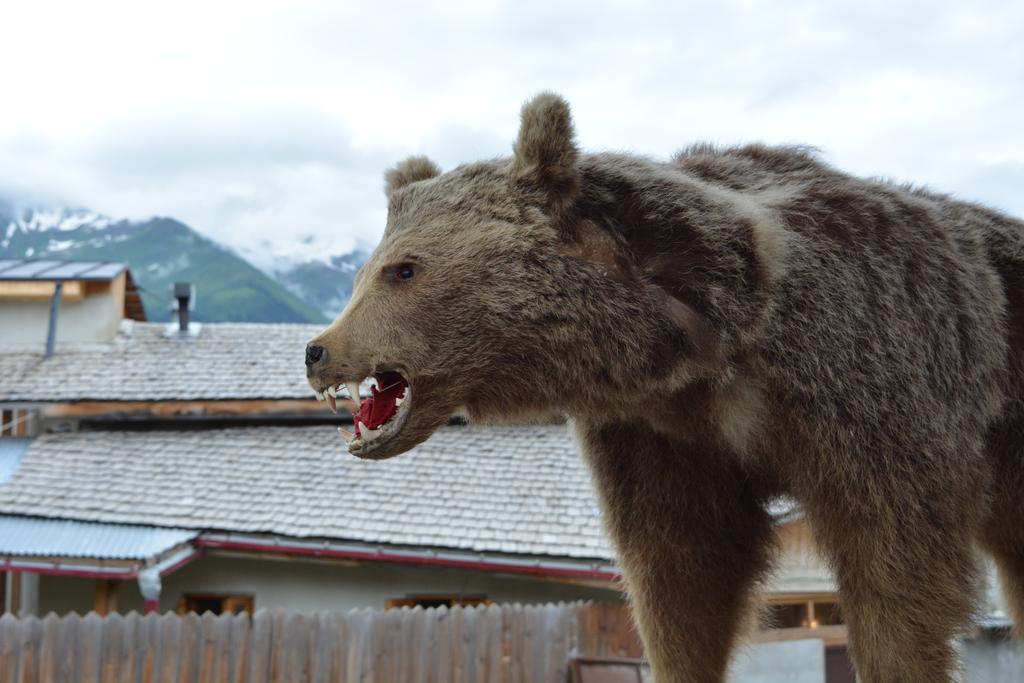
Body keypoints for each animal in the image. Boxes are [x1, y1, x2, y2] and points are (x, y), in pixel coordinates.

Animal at [303, 92, 1024, 683]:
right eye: (366, 271)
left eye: (405, 269)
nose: (318, 350)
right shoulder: (663, 439)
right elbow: (684, 574)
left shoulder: (870, 383)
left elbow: (895, 572)